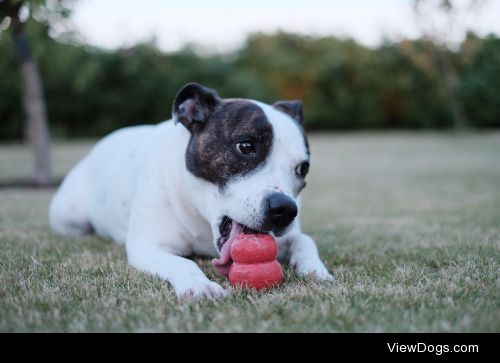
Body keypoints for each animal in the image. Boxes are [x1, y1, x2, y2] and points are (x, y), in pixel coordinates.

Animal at [49, 84, 332, 300]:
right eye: (246, 146)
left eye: (303, 168)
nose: (284, 209)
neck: (202, 217)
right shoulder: (148, 245)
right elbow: (183, 261)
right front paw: (200, 286)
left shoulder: (289, 235)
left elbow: (306, 240)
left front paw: (317, 270)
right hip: (70, 216)